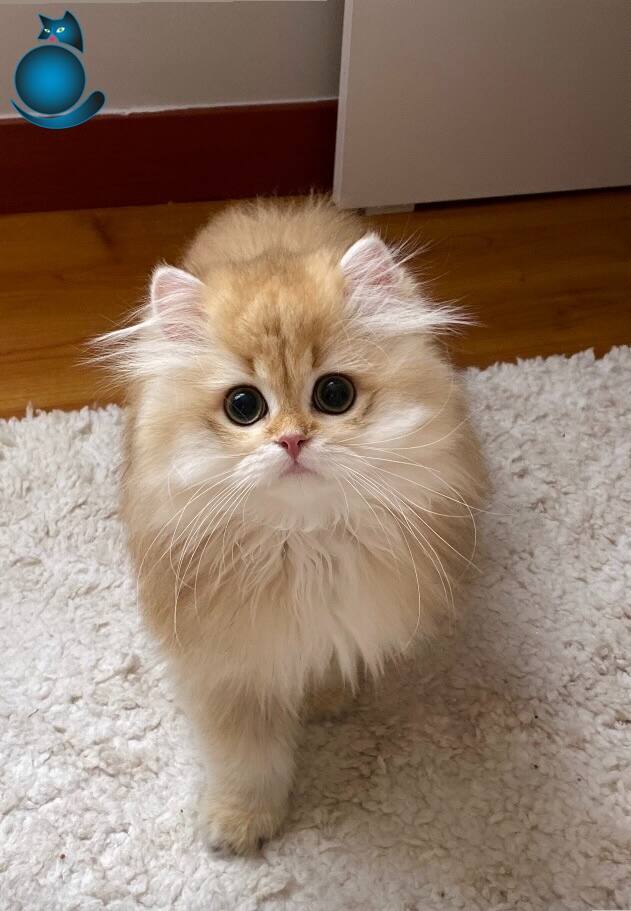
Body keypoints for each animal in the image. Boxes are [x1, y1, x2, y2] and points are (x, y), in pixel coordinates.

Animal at [96, 197, 488, 854]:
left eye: (334, 394)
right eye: (243, 406)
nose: (292, 441)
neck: (304, 545)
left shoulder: (343, 618)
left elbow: (330, 659)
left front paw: (327, 699)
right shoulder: (232, 670)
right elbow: (248, 762)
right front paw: (240, 824)